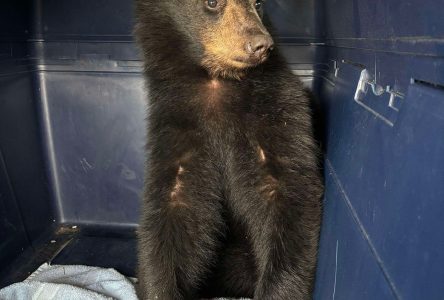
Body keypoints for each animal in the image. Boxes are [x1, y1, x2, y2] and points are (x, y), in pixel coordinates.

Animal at [134, 0, 322, 300]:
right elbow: (175, 204)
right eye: (212, 3)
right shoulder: (176, 124)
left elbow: (286, 195)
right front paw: (158, 287)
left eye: (258, 3)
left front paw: (278, 290)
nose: (261, 44)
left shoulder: (278, 111)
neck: (217, 81)